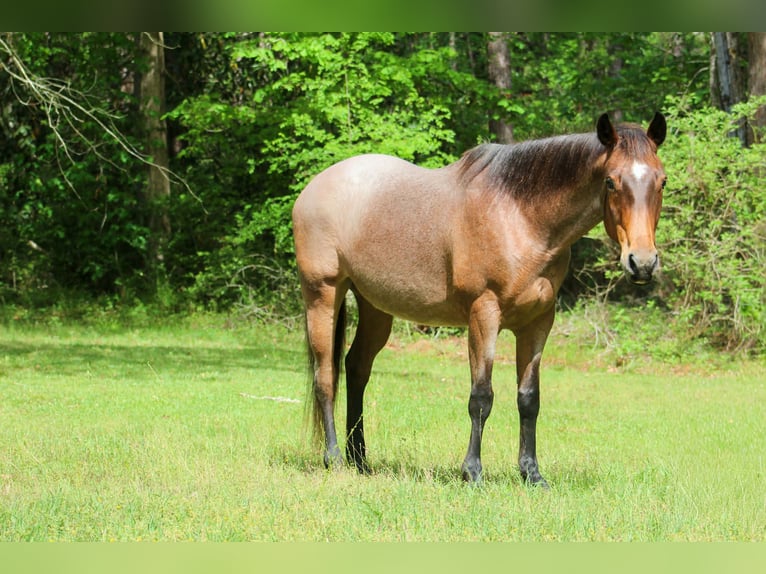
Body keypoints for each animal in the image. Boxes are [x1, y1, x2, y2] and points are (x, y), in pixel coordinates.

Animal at [292, 112, 667, 486]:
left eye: (661, 181)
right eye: (610, 182)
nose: (642, 262)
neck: (520, 218)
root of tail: (313, 188)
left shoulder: (538, 322)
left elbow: (529, 398)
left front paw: (531, 473)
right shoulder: (483, 314)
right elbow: (482, 396)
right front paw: (472, 471)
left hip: (375, 307)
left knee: (356, 369)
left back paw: (360, 459)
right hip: (322, 295)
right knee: (326, 377)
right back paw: (334, 458)